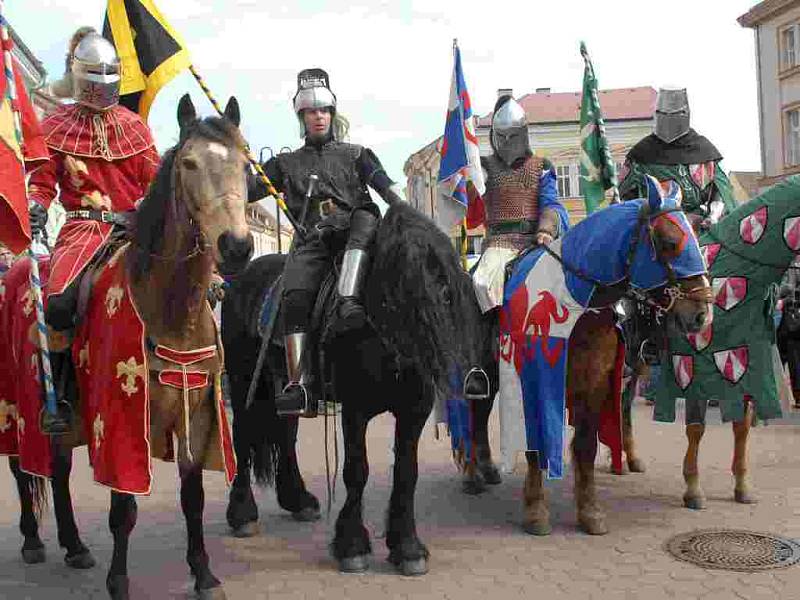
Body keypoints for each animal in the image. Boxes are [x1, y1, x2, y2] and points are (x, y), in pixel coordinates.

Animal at [0, 96, 253, 596]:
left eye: (243, 164)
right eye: (190, 164)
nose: (236, 247)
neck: (170, 311)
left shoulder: (196, 416)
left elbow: (193, 499)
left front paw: (203, 572)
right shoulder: (121, 420)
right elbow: (124, 508)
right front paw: (119, 582)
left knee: (58, 470)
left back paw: (74, 545)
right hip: (15, 408)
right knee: (23, 468)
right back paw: (33, 541)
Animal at [220, 199, 482, 576]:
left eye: (448, 291)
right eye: (401, 288)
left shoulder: (413, 411)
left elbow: (407, 472)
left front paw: (407, 546)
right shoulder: (355, 410)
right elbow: (357, 471)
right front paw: (352, 546)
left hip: (286, 385)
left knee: (286, 433)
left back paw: (297, 499)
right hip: (243, 382)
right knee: (242, 438)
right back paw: (242, 513)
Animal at [450, 175, 712, 536]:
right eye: (670, 241)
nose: (701, 314)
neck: (577, 303)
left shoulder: (597, 383)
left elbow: (586, 445)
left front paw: (589, 511)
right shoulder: (536, 381)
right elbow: (536, 443)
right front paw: (536, 511)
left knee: (481, 413)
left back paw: (487, 469)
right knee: (473, 412)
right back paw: (472, 475)